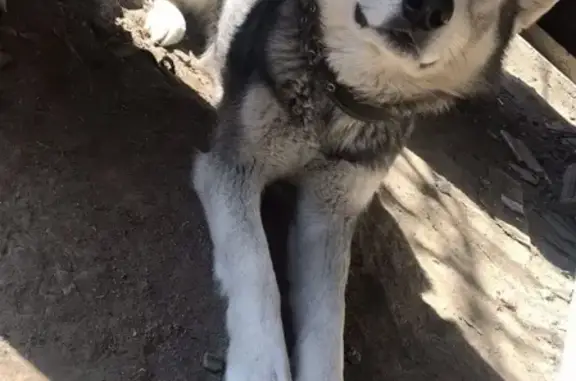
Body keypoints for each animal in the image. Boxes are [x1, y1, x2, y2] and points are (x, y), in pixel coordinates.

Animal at [154, 0, 564, 380]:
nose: (426, 9)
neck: (336, 98)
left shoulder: (329, 216)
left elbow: (328, 325)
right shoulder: (232, 170)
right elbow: (258, 272)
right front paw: (260, 366)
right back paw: (167, 18)